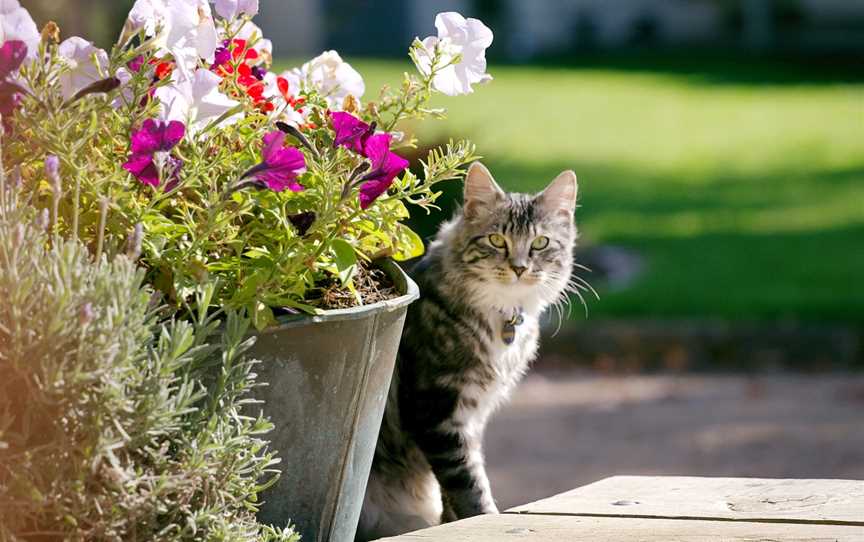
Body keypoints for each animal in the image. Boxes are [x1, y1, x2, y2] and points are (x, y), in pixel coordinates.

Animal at [354, 164, 576, 540]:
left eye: (540, 243)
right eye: (497, 241)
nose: (519, 268)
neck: (502, 317)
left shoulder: (471, 416)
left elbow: (454, 494)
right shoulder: (437, 410)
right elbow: (468, 485)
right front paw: (484, 520)